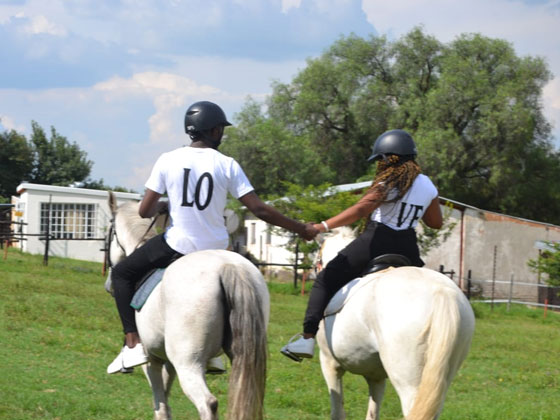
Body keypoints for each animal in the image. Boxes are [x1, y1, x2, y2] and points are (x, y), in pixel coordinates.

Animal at [107, 194, 272, 420]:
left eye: (109, 233)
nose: (109, 286)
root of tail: (228, 266)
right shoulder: (168, 361)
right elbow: (165, 399)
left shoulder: (153, 360)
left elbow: (160, 404)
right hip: (243, 356)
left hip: (188, 362)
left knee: (208, 403)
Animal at [316, 228, 472, 420]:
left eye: (318, 258)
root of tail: (441, 292)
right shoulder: (375, 376)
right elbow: (372, 412)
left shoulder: (329, 364)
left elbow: (337, 411)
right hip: (440, 379)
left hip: (409, 383)